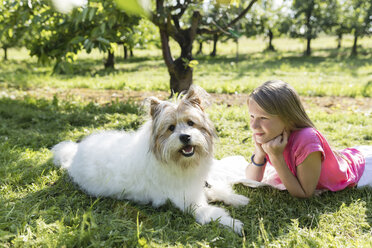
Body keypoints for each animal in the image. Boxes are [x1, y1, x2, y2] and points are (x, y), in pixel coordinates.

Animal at [51, 85, 250, 234]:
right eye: (171, 128)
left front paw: (237, 198)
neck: (180, 161)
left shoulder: (199, 184)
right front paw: (234, 224)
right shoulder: (191, 201)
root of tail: (75, 153)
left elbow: (217, 189)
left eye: (191, 123)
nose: (185, 137)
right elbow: (213, 212)